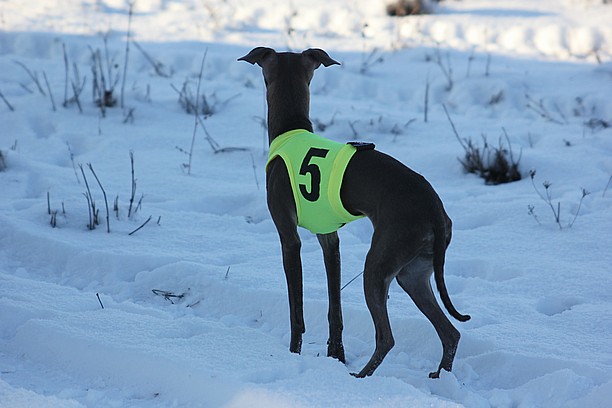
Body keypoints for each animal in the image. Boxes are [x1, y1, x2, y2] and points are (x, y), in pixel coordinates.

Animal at [238, 46, 468, 378]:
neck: (292, 128)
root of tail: (434, 209)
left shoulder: (289, 238)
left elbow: (297, 311)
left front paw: (295, 353)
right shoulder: (329, 239)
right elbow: (335, 308)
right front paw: (336, 354)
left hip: (377, 266)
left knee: (387, 337)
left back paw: (361, 378)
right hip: (413, 273)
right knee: (450, 333)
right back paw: (440, 376)